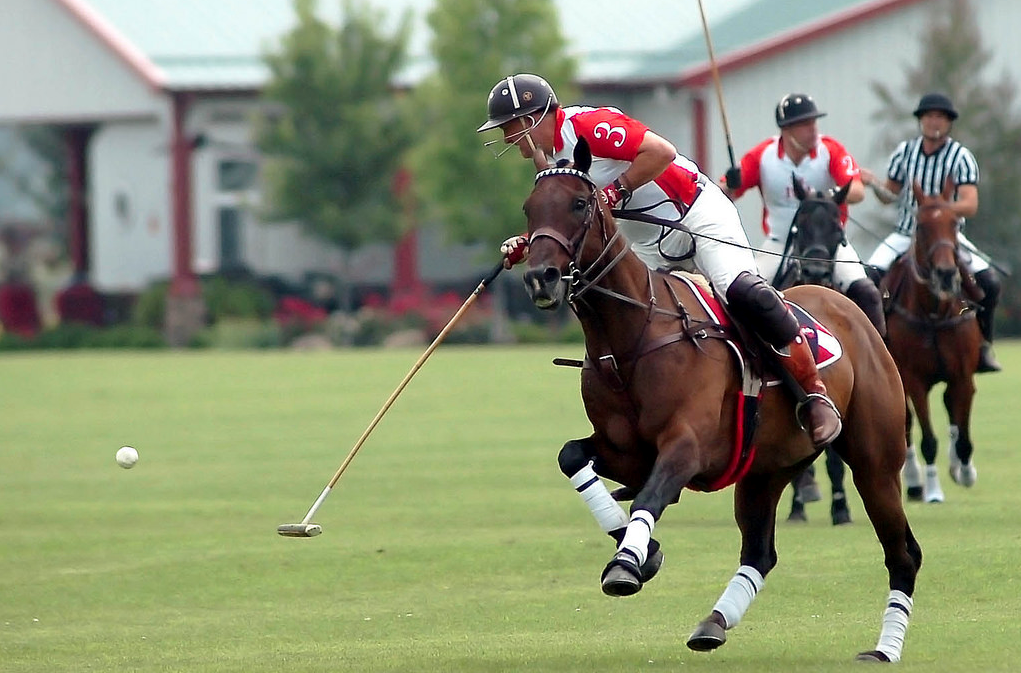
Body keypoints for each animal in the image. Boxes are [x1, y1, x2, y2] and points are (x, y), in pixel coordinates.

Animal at [522, 136, 922, 661]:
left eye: (579, 203)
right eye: (529, 209)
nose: (541, 277)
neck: (632, 337)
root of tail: (848, 305)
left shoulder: (686, 446)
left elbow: (649, 496)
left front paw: (627, 563)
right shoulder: (626, 452)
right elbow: (574, 457)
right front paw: (644, 553)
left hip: (876, 462)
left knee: (903, 552)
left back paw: (884, 650)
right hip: (766, 469)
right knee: (760, 552)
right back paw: (713, 623)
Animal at [886, 181, 980, 502]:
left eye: (954, 223)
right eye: (922, 226)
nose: (946, 274)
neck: (935, 313)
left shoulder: (962, 375)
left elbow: (963, 436)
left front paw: (965, 472)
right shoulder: (913, 380)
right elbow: (927, 439)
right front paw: (933, 490)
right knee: (905, 425)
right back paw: (915, 482)